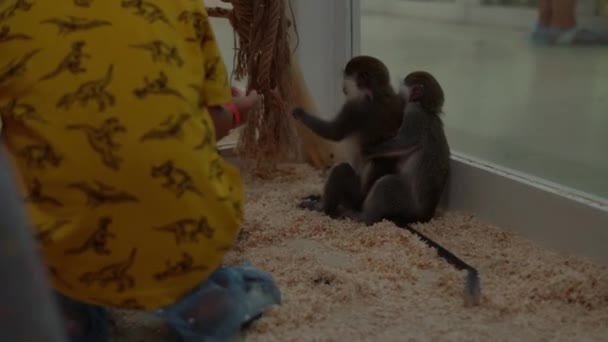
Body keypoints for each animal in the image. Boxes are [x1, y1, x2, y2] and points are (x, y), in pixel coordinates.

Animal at [292, 55, 406, 218]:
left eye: (346, 77)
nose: (343, 87)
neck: (377, 92)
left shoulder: (354, 108)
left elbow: (334, 133)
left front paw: (301, 115)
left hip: (355, 197)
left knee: (341, 170)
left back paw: (324, 208)